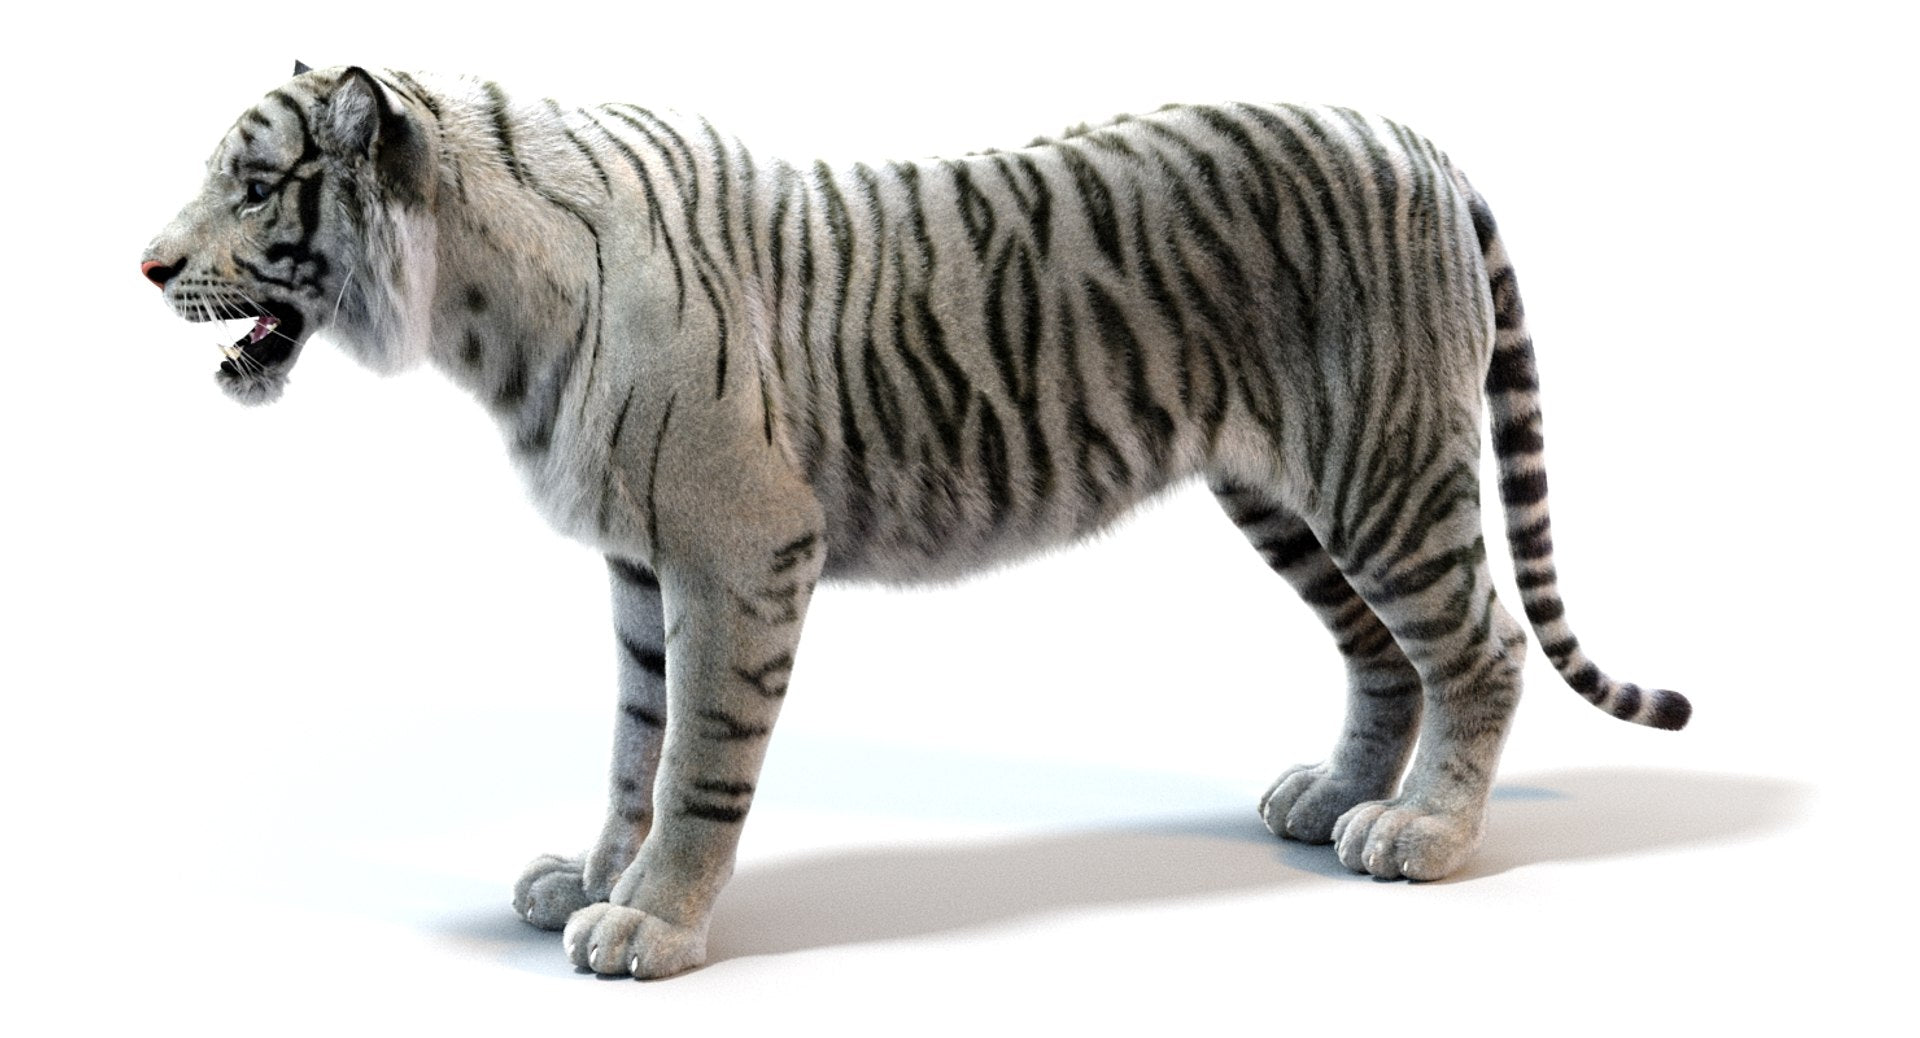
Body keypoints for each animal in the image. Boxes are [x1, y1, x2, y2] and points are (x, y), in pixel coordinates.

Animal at [142, 63, 1691, 979]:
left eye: (255, 185)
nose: (146, 263)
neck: (480, 317)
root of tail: (1413, 134)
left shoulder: (740, 553)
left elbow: (697, 760)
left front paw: (649, 917)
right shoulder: (641, 567)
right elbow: (633, 743)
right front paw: (589, 870)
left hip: (1383, 464)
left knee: (1478, 645)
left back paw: (1421, 833)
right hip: (1283, 490)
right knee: (1382, 652)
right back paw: (1331, 799)